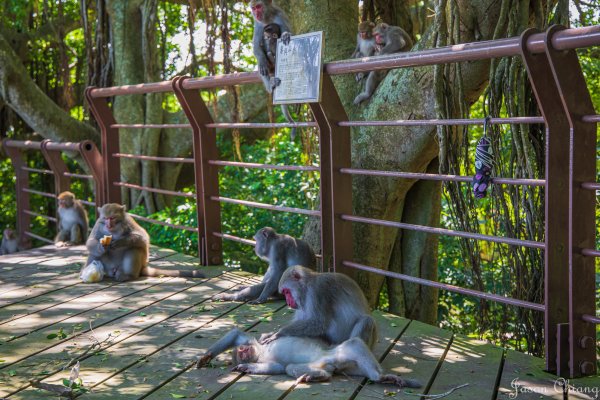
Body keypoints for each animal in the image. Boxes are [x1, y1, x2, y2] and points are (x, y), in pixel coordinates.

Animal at [195, 328, 420, 388]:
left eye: (242, 350)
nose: (243, 351)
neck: (259, 353)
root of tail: (330, 361)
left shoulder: (255, 342)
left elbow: (236, 334)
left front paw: (206, 356)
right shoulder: (262, 357)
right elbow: (277, 368)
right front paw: (246, 368)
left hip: (343, 355)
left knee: (354, 343)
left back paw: (381, 377)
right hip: (342, 364)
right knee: (291, 368)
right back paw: (318, 376)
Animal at [250, 0, 296, 141]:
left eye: (259, 6)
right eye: (253, 8)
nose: (256, 13)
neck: (267, 18)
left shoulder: (280, 16)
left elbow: (288, 34)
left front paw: (285, 35)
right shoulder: (258, 24)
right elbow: (256, 45)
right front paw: (261, 60)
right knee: (263, 68)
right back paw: (271, 84)